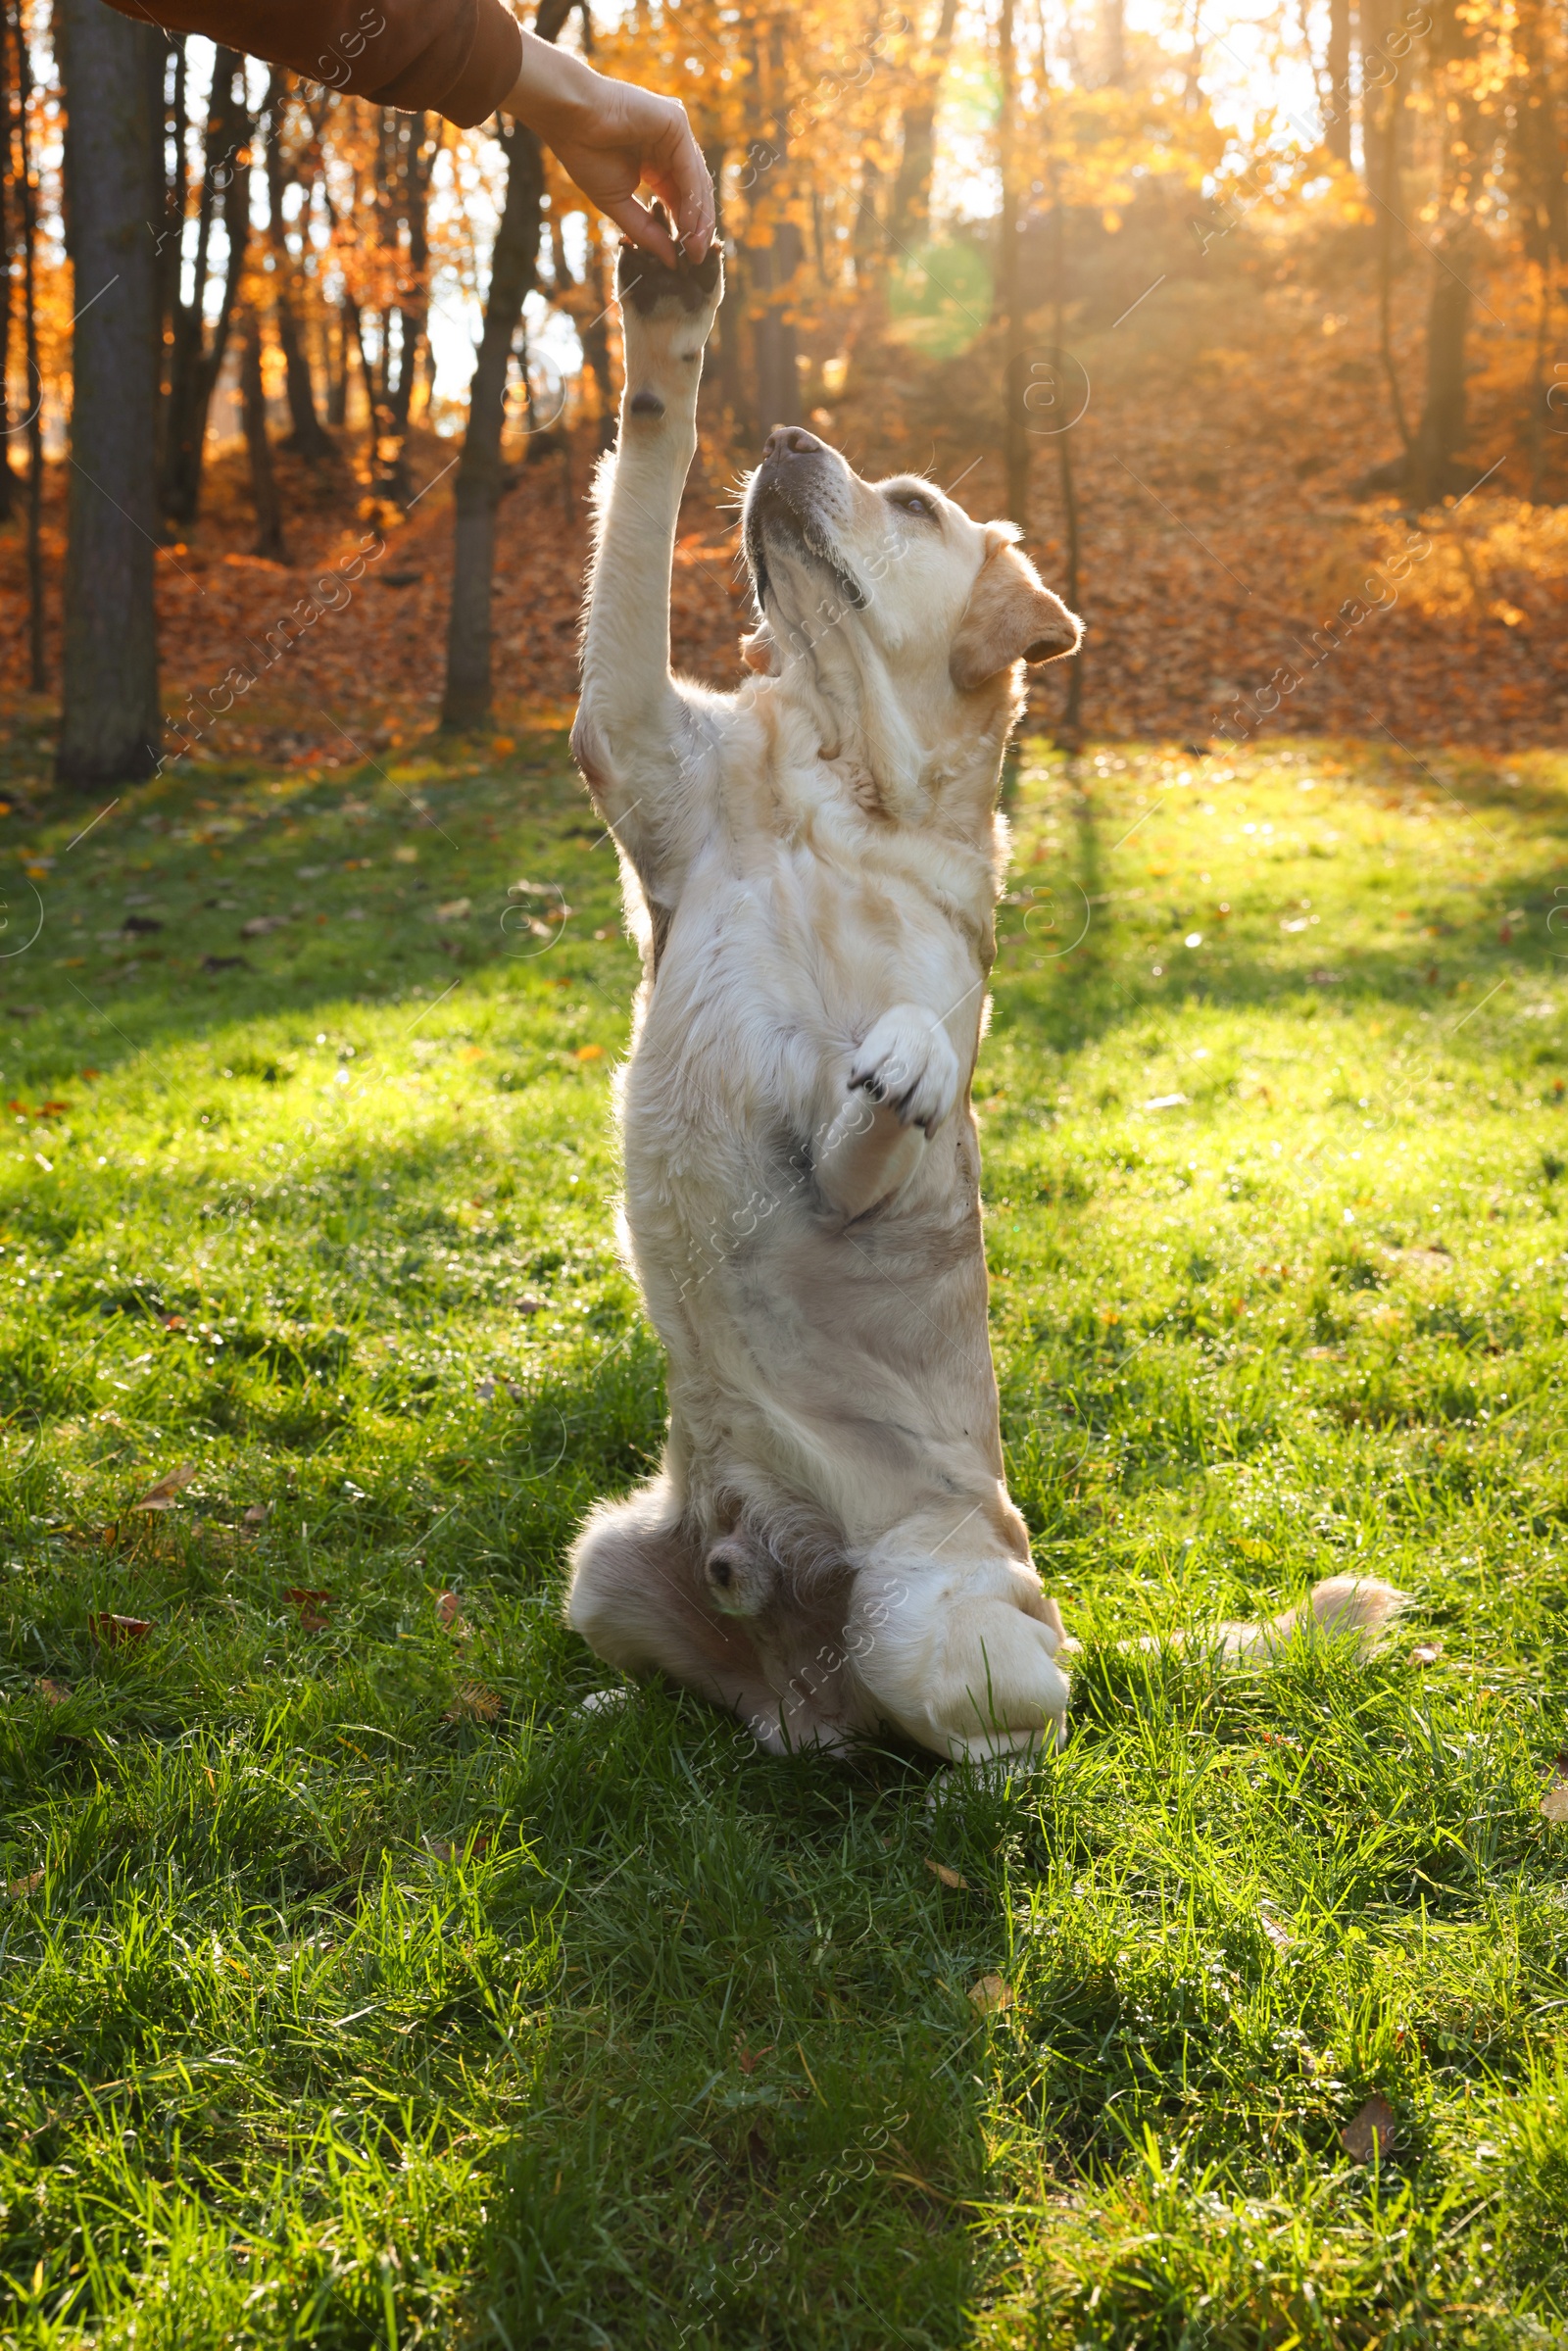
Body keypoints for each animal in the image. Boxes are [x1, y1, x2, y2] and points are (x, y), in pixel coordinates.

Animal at [562, 238, 1400, 1768]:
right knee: (747, 1712)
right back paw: (634, 1706)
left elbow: (901, 1075)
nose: (786, 434)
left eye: (912, 503)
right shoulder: (631, 734)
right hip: (597, 1562)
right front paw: (667, 314)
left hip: (937, 1628)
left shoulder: (866, 1157)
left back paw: (967, 1778)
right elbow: (643, 468)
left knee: (1001, 1729)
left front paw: (906, 1056)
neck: (840, 786)